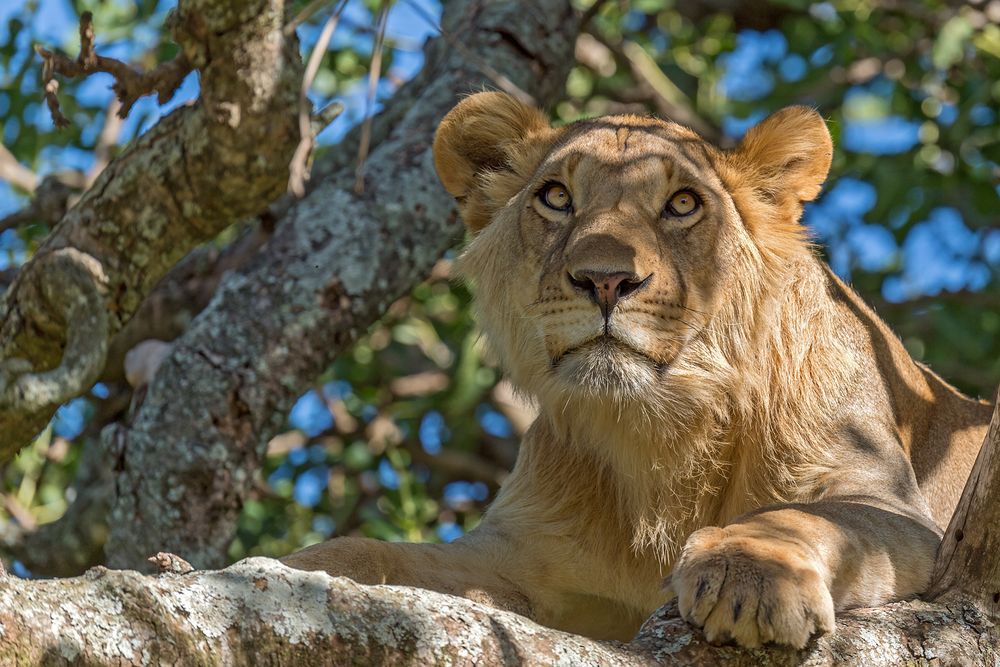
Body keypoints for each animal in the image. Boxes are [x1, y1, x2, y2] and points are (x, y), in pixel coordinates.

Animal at [286, 91, 996, 648]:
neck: (658, 432)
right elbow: (369, 553)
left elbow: (804, 516)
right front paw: (291, 572)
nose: (604, 279)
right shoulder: (513, 555)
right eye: (556, 197)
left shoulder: (892, 508)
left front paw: (747, 575)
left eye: (681, 204)